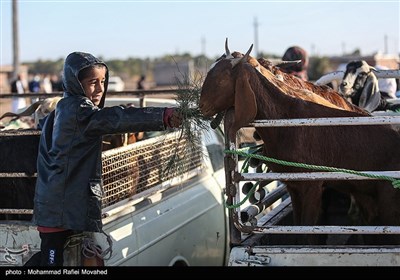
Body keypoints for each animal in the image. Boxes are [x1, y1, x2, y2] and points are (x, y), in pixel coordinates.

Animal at [199, 39, 400, 245]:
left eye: (222, 79)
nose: (201, 106)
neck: (285, 114)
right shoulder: (294, 186)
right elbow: (299, 230)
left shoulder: (312, 186)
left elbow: (308, 232)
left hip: (389, 198)